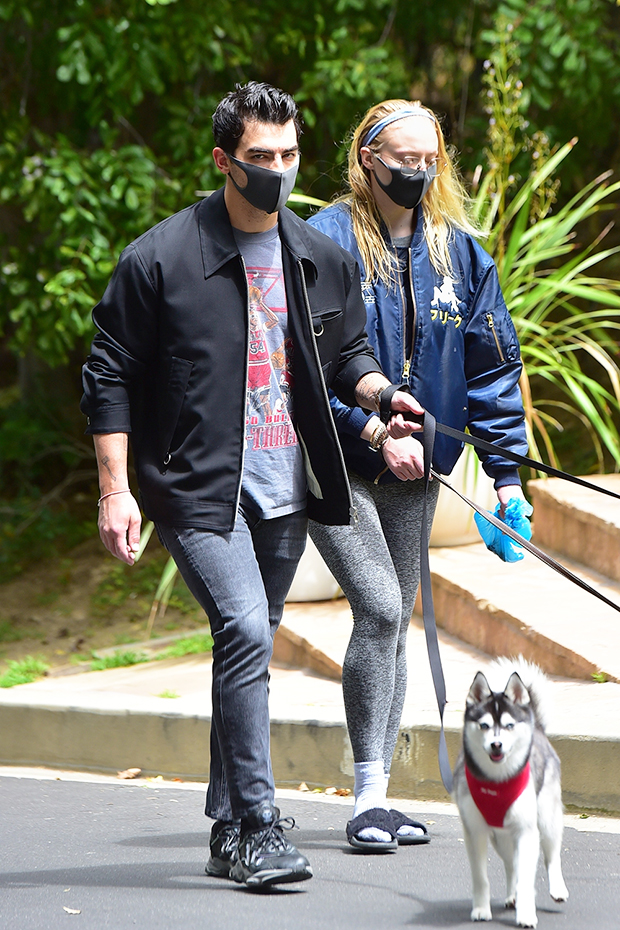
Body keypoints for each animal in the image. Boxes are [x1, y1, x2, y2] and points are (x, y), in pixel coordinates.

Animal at [452, 656, 568, 924]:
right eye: (484, 725)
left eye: (509, 725)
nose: (497, 744)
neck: (496, 780)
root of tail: (538, 728)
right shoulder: (475, 832)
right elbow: (481, 877)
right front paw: (481, 909)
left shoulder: (526, 831)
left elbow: (527, 877)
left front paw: (526, 915)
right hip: (501, 837)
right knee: (511, 865)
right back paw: (512, 894)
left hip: (546, 818)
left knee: (551, 854)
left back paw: (557, 889)